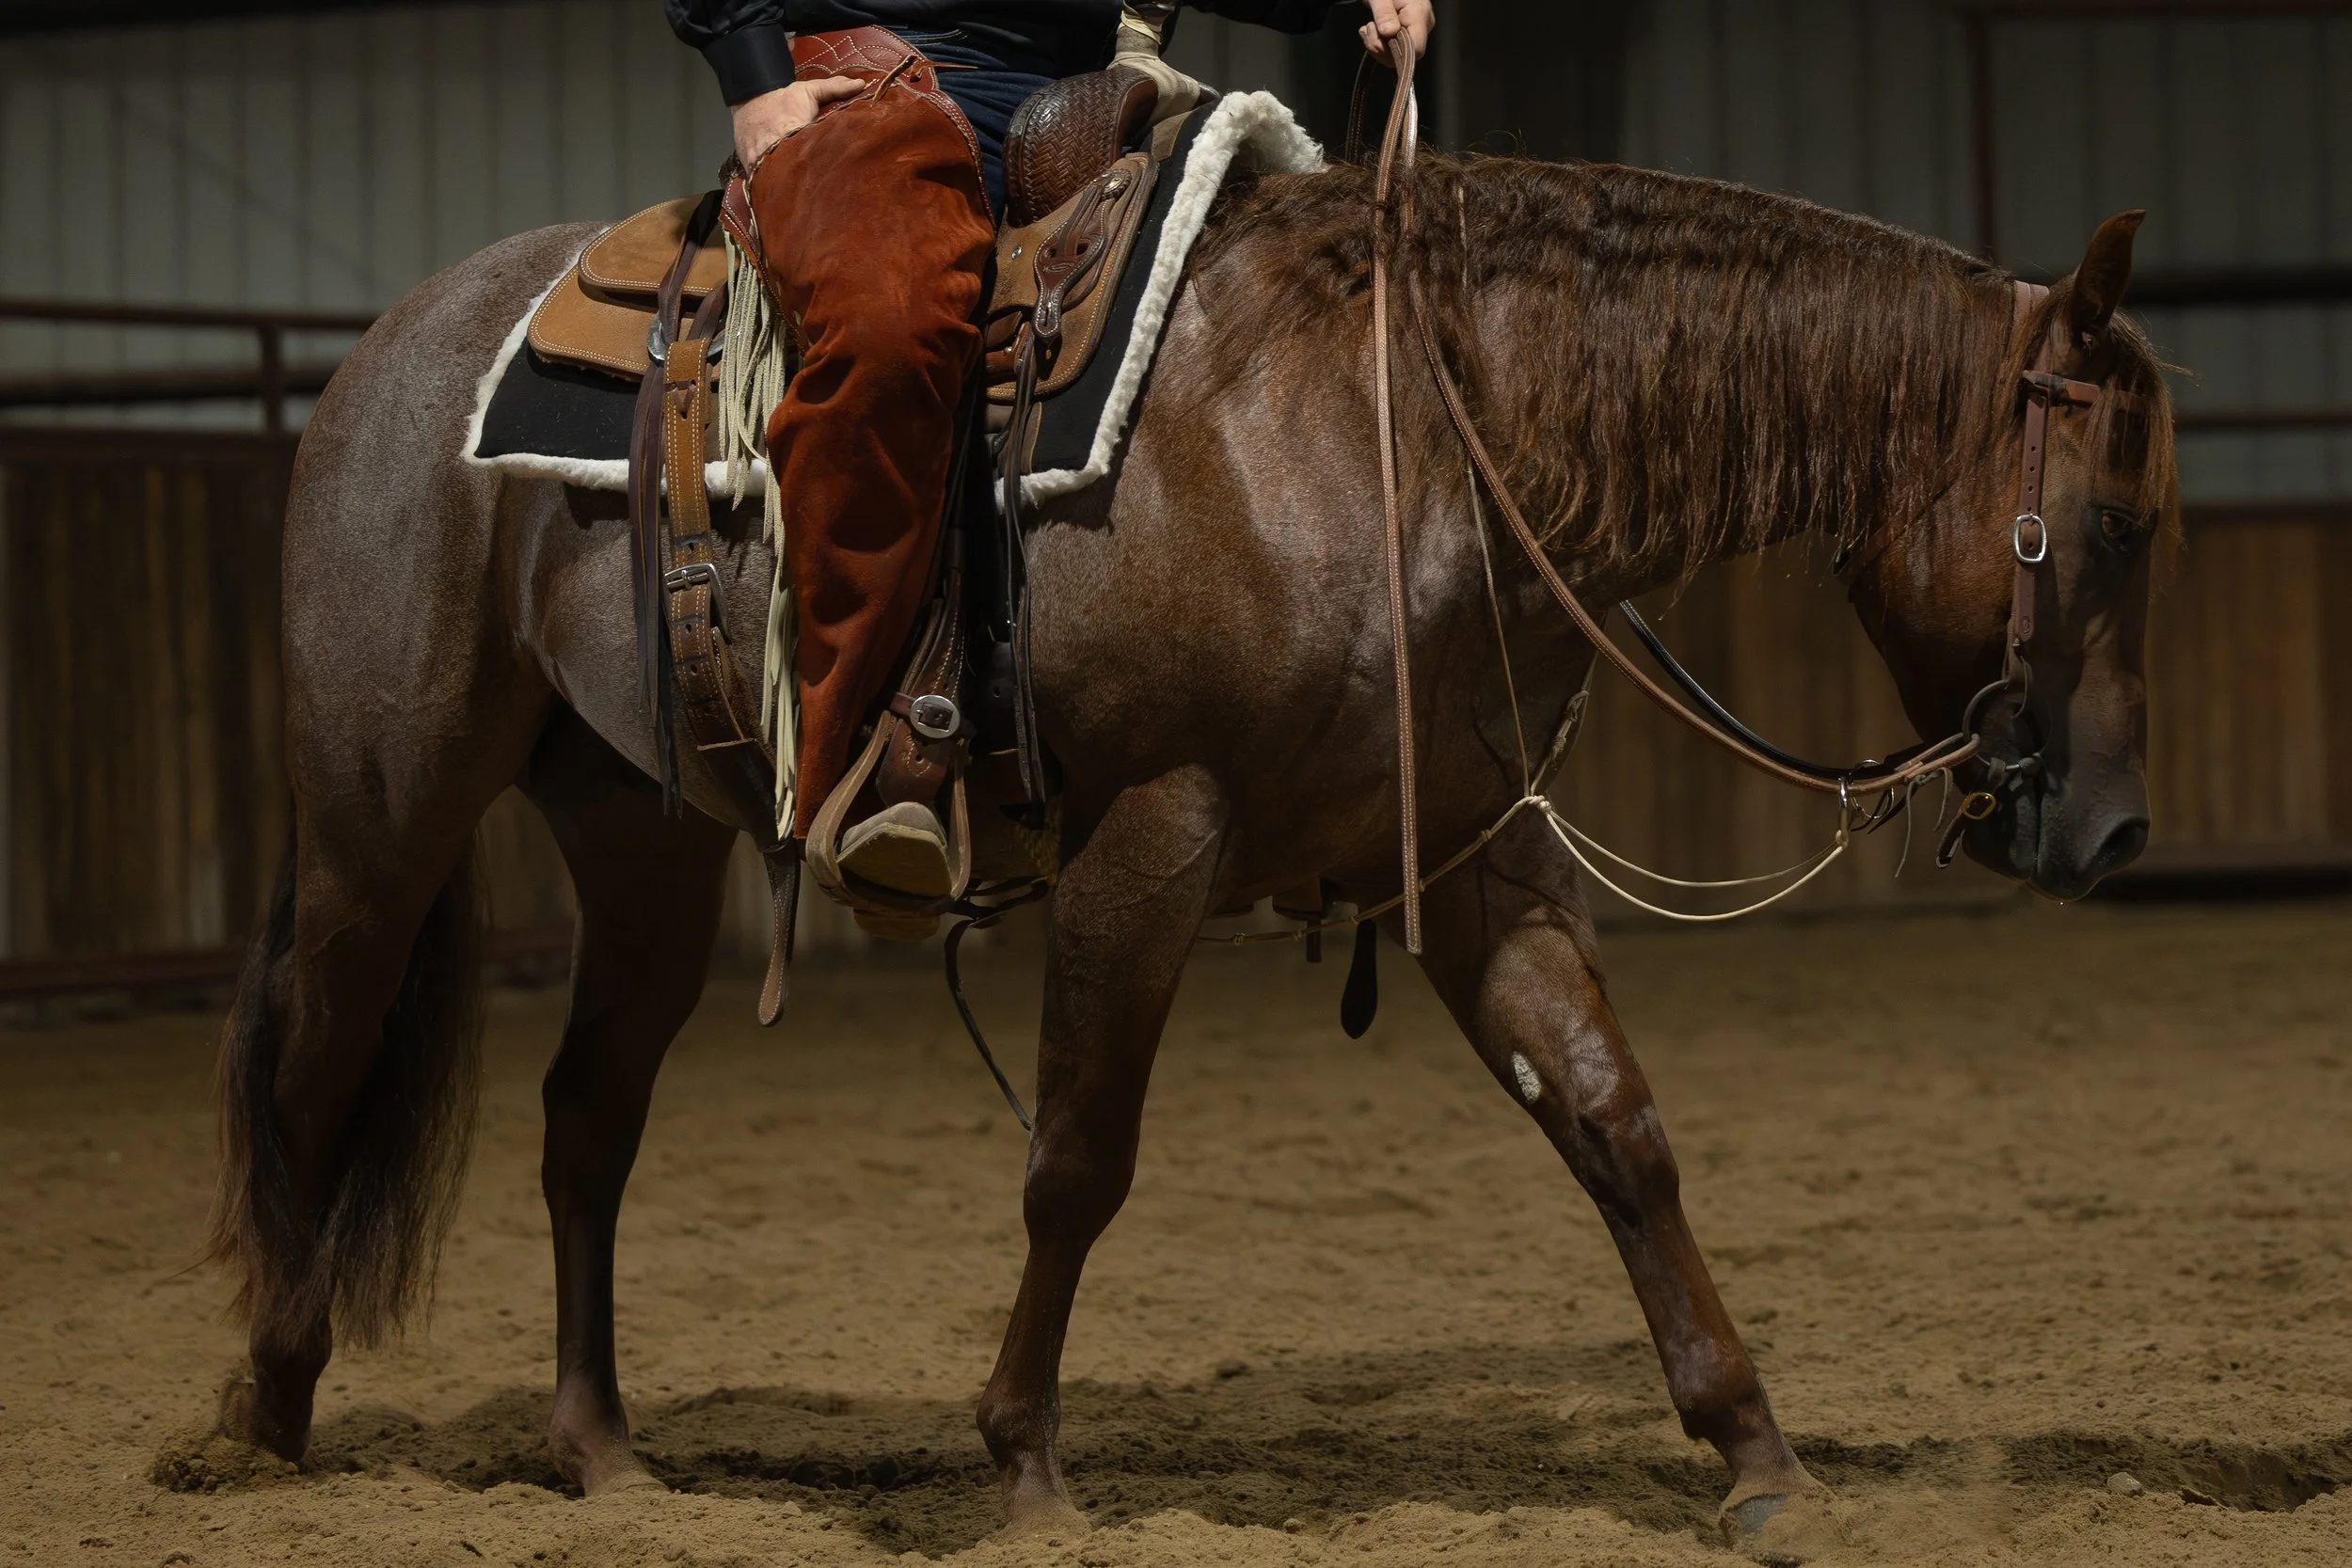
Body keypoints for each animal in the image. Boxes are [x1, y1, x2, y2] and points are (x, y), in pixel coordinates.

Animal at [194, 140, 2176, 1541]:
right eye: (2122, 521)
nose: (2117, 828)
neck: (1394, 435)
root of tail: (392, 352)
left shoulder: (1469, 860)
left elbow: (1616, 1126)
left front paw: (1753, 1450)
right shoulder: (1152, 840)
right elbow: (1079, 1158)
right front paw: (1024, 1463)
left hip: (646, 846)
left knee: (585, 1121)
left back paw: (601, 1449)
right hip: (383, 811)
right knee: (315, 1065)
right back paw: (263, 1416)